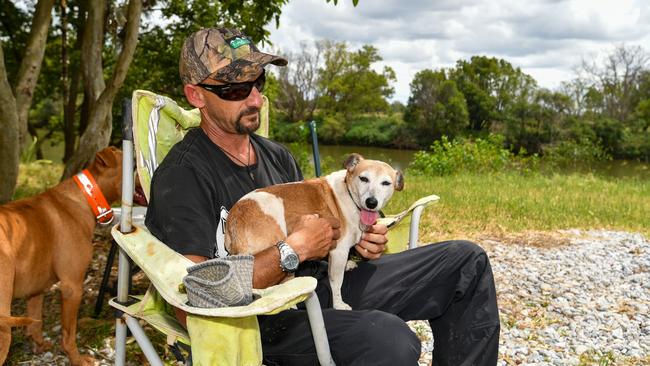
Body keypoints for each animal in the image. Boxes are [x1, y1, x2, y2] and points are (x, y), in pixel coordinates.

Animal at [0, 147, 123, 366]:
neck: (85, 196)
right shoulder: (72, 287)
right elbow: (69, 334)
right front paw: (77, 359)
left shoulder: (36, 290)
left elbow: (35, 324)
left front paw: (39, 346)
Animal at [225, 153, 402, 310]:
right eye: (363, 178)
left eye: (386, 183)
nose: (371, 202)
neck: (350, 194)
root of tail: (236, 219)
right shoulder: (339, 250)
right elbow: (337, 283)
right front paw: (339, 304)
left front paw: (349, 263)